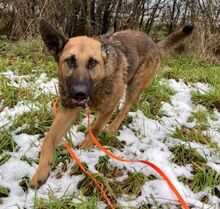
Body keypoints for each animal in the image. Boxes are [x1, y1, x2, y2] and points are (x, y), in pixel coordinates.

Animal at [29, 19, 192, 189]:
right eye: (70, 61)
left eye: (92, 63)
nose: (79, 93)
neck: (97, 84)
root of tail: (154, 43)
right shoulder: (68, 110)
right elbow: (48, 139)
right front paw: (41, 172)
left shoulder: (110, 105)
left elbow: (96, 127)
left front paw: (88, 144)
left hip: (134, 87)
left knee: (125, 109)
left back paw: (112, 128)